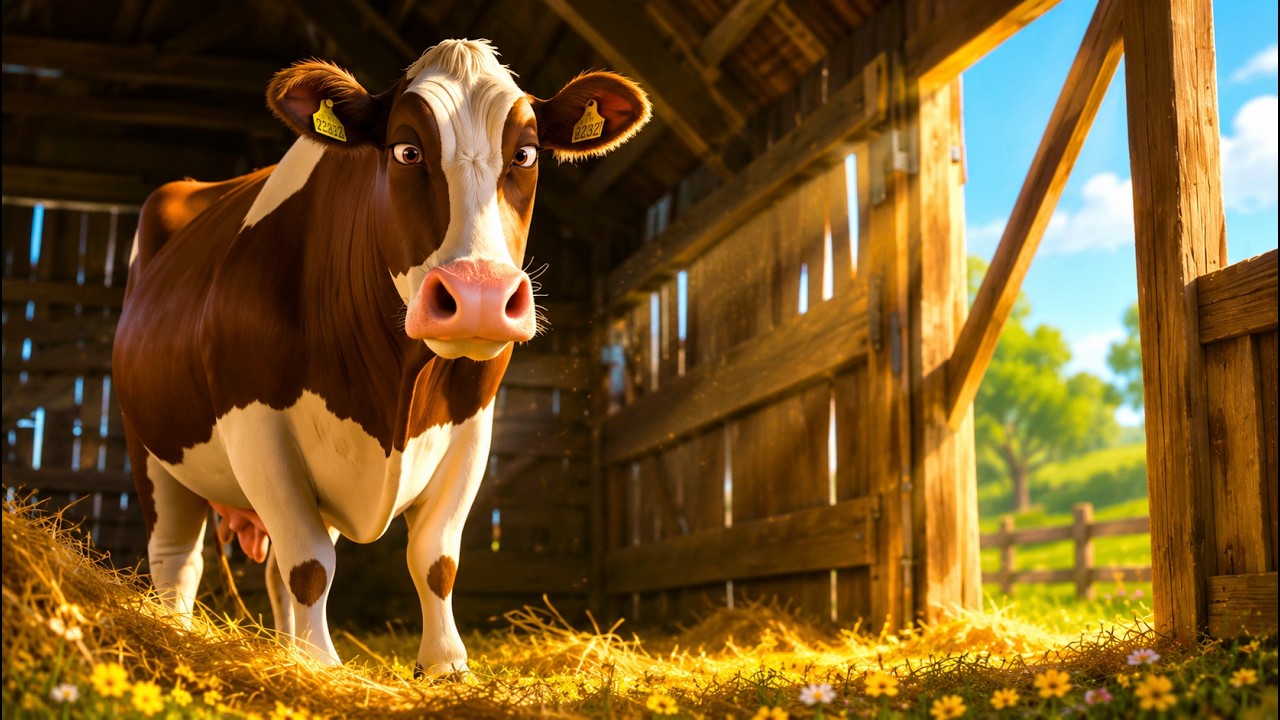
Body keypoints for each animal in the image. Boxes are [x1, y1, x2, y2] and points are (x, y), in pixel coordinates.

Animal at [111, 39, 650, 676]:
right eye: (406, 150)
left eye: (524, 153)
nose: (480, 296)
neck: (393, 393)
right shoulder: (254, 422)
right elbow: (309, 565)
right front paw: (320, 666)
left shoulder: (473, 427)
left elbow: (434, 559)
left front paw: (445, 665)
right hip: (152, 447)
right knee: (177, 561)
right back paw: (178, 633)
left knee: (269, 572)